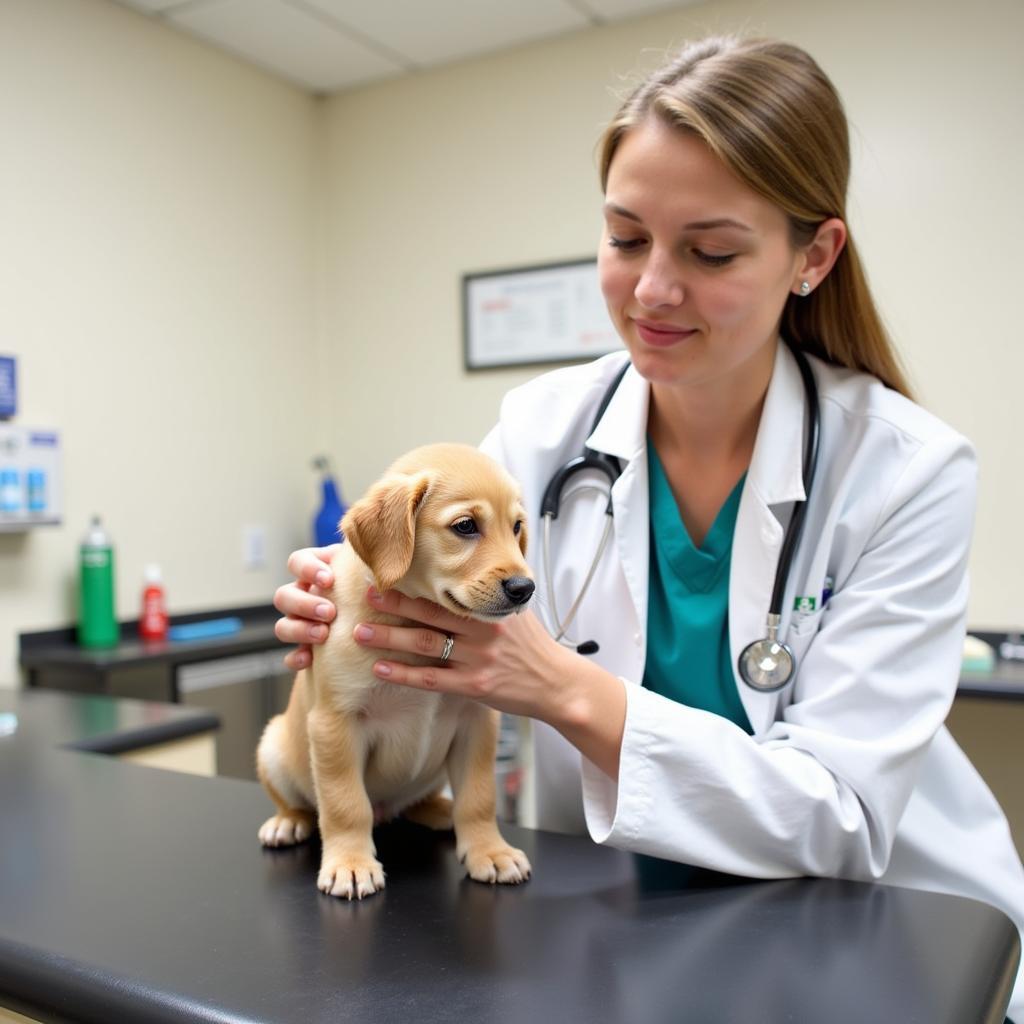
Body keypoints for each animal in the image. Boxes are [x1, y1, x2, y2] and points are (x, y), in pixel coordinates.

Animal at [253, 440, 536, 897]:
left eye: (516, 527)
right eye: (465, 526)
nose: (524, 589)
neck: (417, 625)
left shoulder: (477, 721)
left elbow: (479, 797)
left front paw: (489, 851)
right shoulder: (335, 723)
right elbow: (345, 803)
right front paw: (350, 863)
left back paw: (440, 809)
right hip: (274, 746)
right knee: (301, 803)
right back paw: (287, 823)